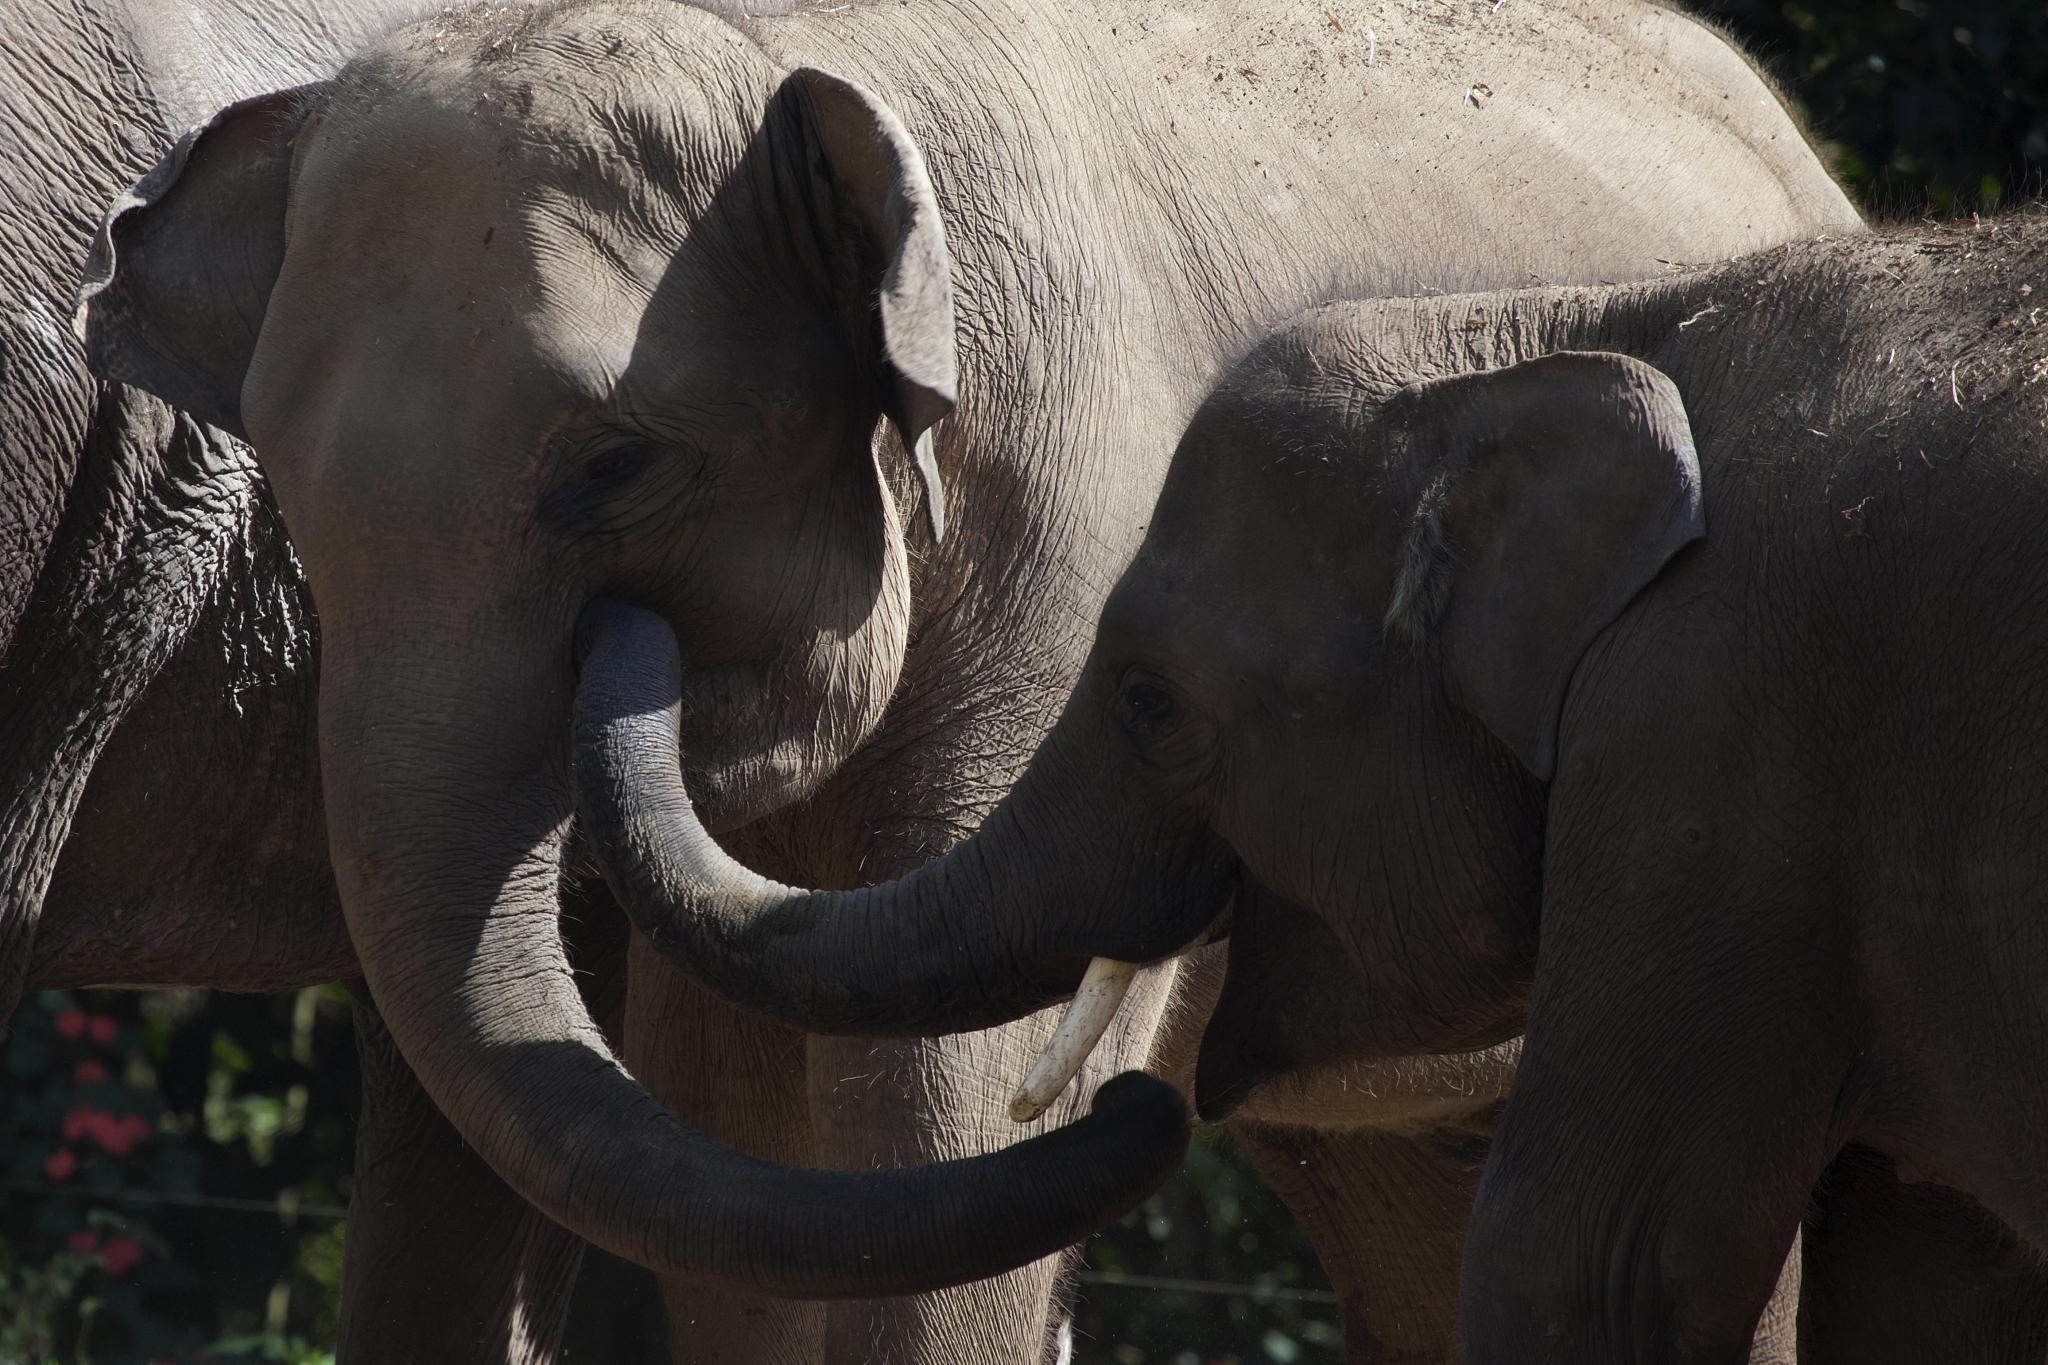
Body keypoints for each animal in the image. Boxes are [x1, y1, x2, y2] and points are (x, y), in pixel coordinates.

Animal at [59, 0, 1875, 1358]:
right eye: (289, 505)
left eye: (613, 469)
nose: (1148, 1097)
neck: (785, 55)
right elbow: (738, 1126)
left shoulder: (1084, 525)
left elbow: (932, 1119)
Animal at [569, 218, 2048, 1358]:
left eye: (1151, 702)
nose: (625, 605)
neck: (1586, 325)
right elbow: (1925, 1292)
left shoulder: (1705, 739)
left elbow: (1585, 1256)